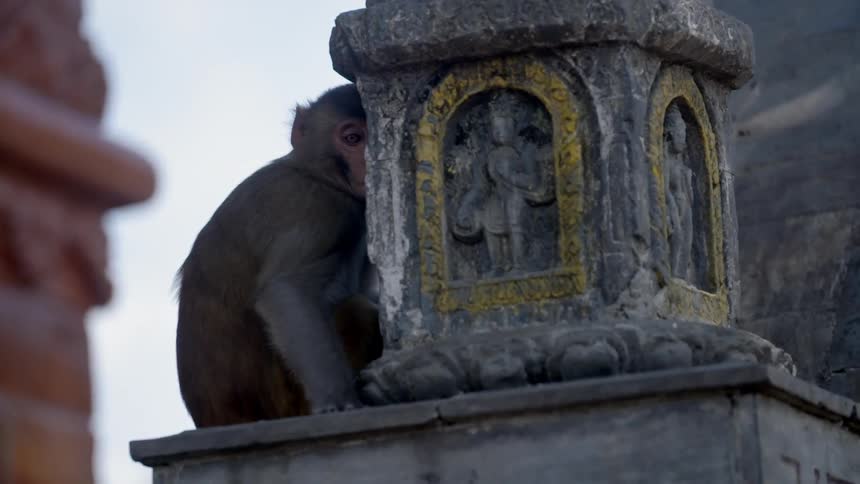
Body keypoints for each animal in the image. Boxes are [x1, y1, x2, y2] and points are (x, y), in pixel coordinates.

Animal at [175, 84, 382, 428]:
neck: (311, 170)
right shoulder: (317, 209)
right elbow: (287, 293)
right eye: (354, 138)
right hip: (286, 401)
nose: (371, 164)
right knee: (356, 310)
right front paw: (339, 402)